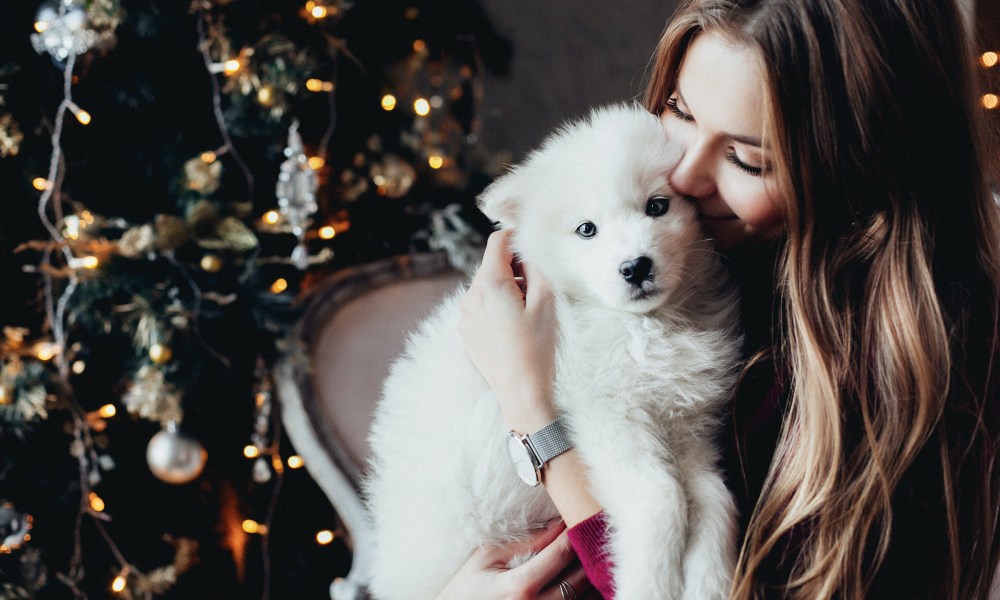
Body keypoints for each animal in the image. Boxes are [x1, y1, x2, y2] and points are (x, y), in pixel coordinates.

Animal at [364, 104, 740, 600]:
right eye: (586, 230)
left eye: (658, 206)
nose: (635, 267)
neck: (642, 325)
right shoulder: (607, 417)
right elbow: (662, 498)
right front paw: (650, 582)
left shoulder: (685, 428)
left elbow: (715, 500)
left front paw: (710, 582)